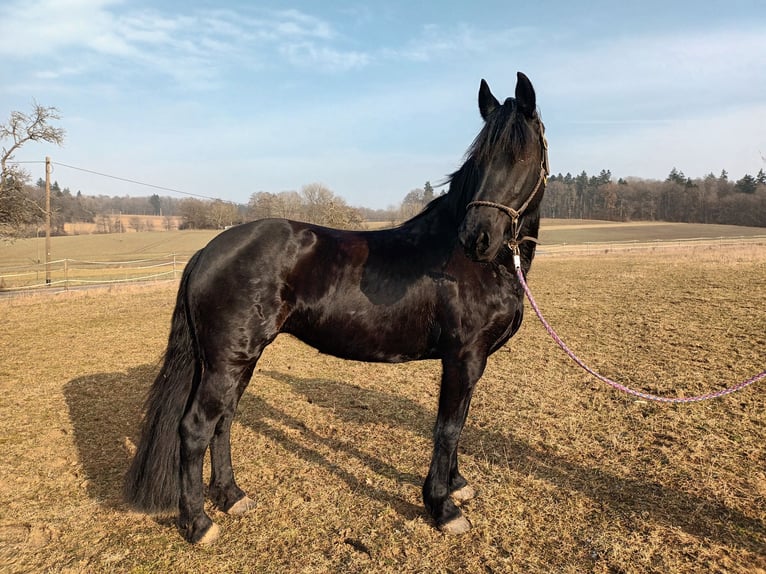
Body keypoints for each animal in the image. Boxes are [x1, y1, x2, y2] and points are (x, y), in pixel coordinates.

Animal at [124, 72, 549, 544]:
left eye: (523, 154)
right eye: (480, 158)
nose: (477, 237)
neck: (467, 264)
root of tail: (207, 251)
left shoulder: (468, 362)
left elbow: (458, 423)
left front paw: (457, 485)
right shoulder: (464, 357)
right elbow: (448, 427)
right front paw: (442, 507)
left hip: (238, 360)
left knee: (225, 419)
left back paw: (232, 496)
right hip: (226, 361)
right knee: (196, 427)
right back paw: (198, 522)